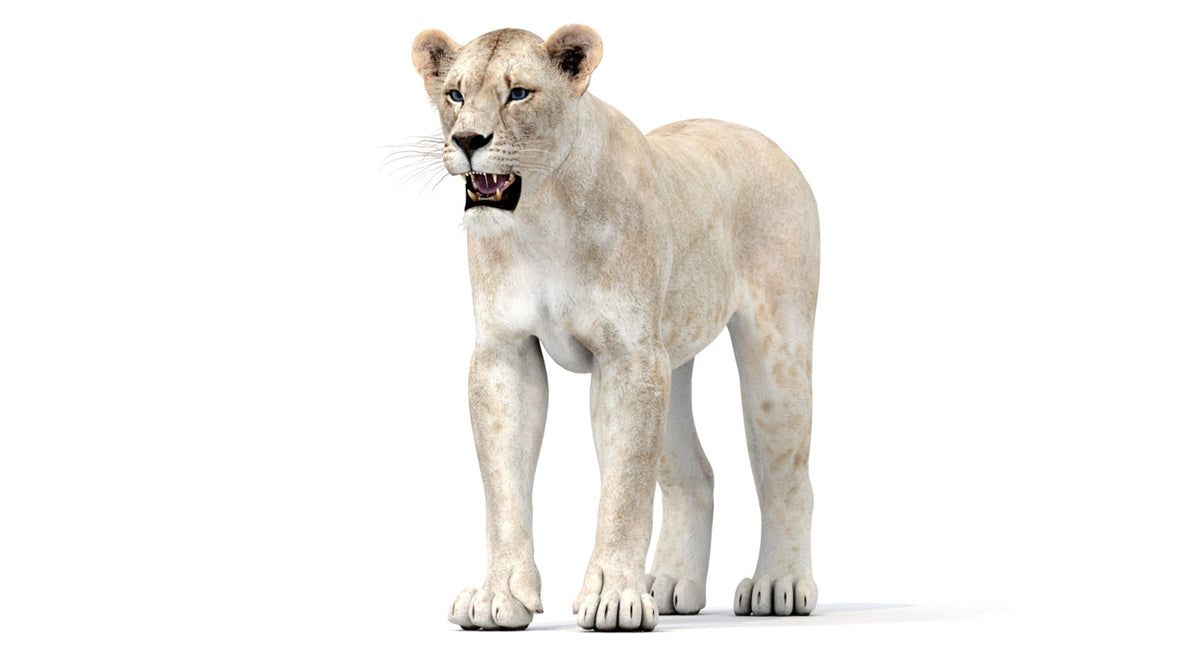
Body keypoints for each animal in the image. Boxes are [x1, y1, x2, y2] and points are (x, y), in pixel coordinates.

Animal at [411, 25, 819, 631]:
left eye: (519, 94)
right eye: (455, 95)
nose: (467, 140)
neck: (541, 216)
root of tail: (762, 138)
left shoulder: (630, 358)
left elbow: (624, 490)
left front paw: (614, 597)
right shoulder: (505, 353)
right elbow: (503, 485)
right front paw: (497, 596)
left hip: (776, 349)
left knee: (787, 473)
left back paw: (780, 584)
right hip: (673, 359)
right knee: (696, 474)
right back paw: (671, 585)